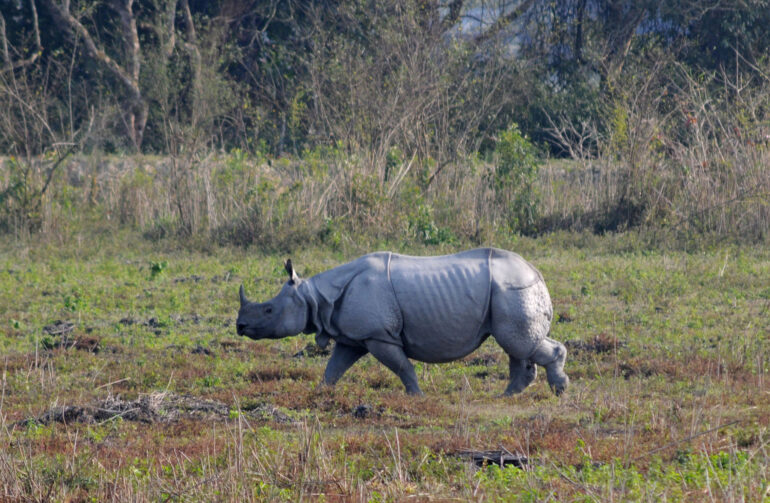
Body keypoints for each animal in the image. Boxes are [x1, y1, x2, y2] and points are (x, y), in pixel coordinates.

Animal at [236, 248, 568, 396]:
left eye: (268, 311)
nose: (240, 327)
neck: (315, 297)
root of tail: (536, 272)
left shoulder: (378, 335)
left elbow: (402, 366)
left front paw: (416, 396)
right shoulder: (354, 336)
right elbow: (335, 367)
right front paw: (321, 393)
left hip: (513, 290)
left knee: (518, 342)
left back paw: (559, 390)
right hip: (508, 292)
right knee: (517, 345)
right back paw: (508, 395)